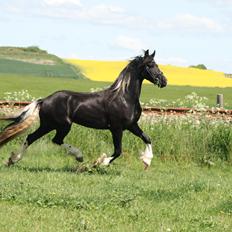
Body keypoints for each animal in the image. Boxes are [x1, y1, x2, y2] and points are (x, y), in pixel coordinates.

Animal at [0, 49, 167, 169]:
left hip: (50, 125)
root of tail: (44, 100)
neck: (124, 97)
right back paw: (79, 156)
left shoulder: (131, 125)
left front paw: (147, 161)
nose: (164, 81)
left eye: (156, 64)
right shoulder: (116, 128)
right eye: (150, 65)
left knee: (33, 138)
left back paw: (12, 160)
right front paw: (100, 162)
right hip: (60, 125)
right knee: (53, 139)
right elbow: (118, 151)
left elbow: (147, 138)